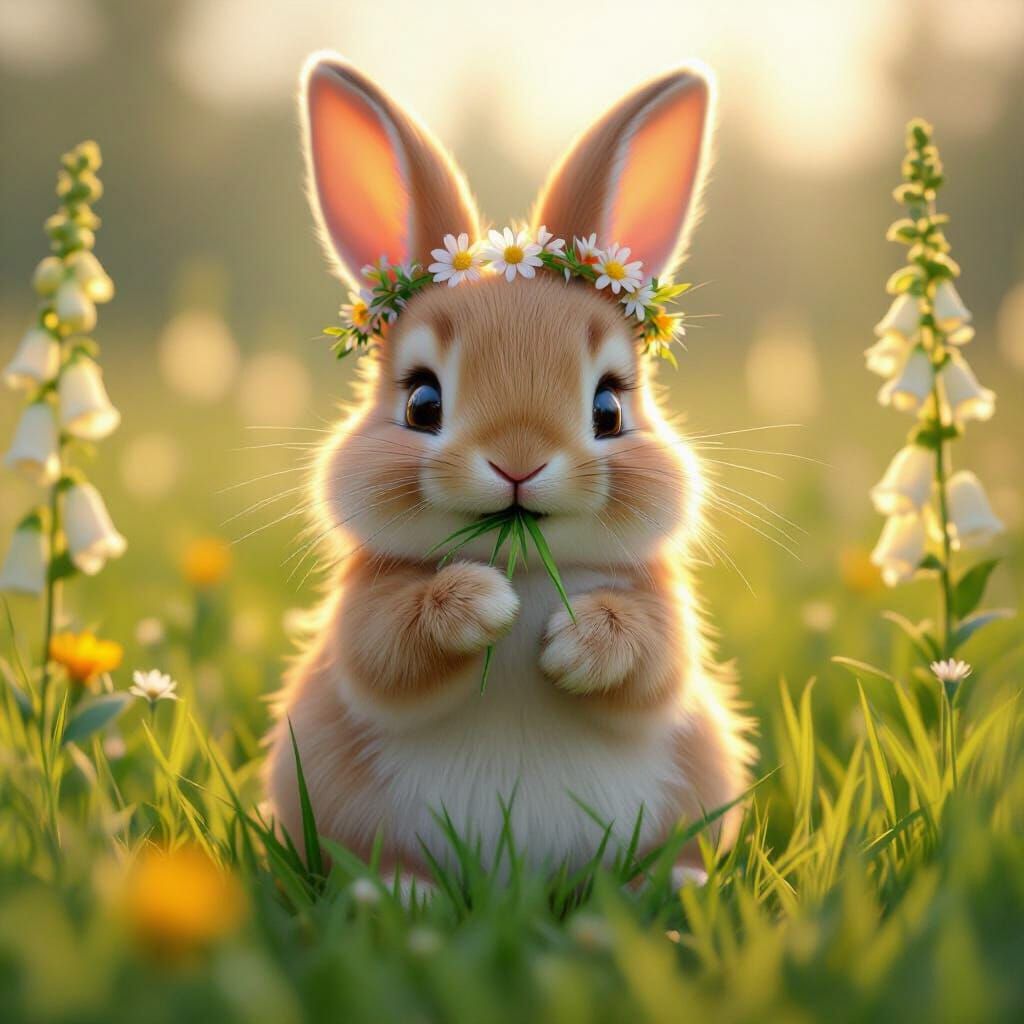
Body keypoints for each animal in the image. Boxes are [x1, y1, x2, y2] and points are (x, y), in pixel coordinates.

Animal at [264, 52, 755, 880]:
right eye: (422, 402)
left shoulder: (665, 613)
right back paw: (399, 893)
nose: (518, 463)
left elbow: (654, 655)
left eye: (608, 408)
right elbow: (386, 646)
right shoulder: (363, 612)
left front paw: (572, 641)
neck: (525, 560)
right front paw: (481, 605)